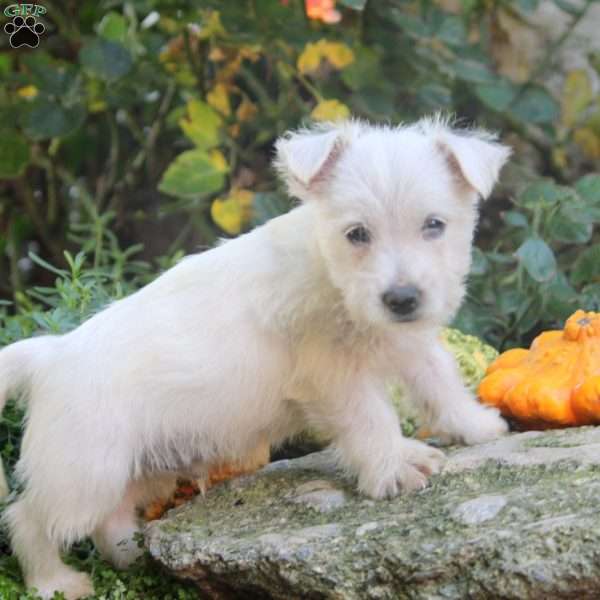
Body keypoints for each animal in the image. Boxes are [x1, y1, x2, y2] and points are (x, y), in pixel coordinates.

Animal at [0, 117, 510, 600]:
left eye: (434, 225)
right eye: (357, 234)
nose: (402, 299)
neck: (332, 277)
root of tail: (48, 354)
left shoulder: (412, 344)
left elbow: (441, 383)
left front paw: (477, 426)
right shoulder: (334, 376)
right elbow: (371, 420)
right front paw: (394, 468)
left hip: (140, 469)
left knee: (111, 517)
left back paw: (130, 554)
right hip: (84, 473)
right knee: (27, 518)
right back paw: (55, 582)